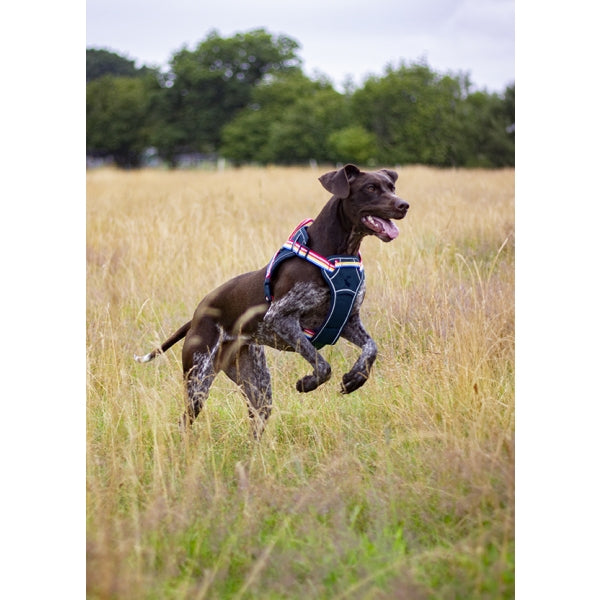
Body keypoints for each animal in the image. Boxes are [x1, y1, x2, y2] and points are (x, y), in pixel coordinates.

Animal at [135, 163, 408, 436]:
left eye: (392, 187)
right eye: (370, 188)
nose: (404, 204)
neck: (339, 254)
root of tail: (197, 315)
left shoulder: (347, 321)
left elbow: (371, 348)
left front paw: (355, 378)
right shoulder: (280, 319)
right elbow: (323, 366)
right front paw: (308, 383)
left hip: (258, 388)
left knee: (255, 423)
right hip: (198, 380)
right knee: (185, 421)